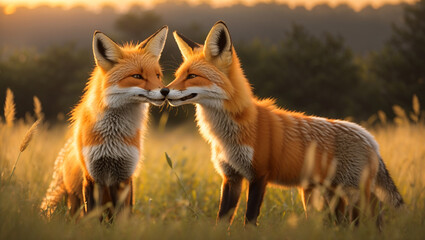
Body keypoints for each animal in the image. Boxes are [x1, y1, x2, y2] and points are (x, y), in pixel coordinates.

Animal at [40, 26, 167, 218]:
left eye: (158, 75)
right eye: (137, 76)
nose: (165, 91)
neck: (112, 137)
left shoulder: (124, 177)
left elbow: (122, 218)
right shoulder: (92, 177)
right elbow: (91, 217)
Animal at [161, 21, 402, 226]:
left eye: (192, 76)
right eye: (178, 76)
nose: (164, 91)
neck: (230, 132)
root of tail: (369, 137)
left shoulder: (259, 174)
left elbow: (250, 220)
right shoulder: (231, 176)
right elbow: (222, 221)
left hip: (354, 197)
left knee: (369, 222)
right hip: (322, 197)